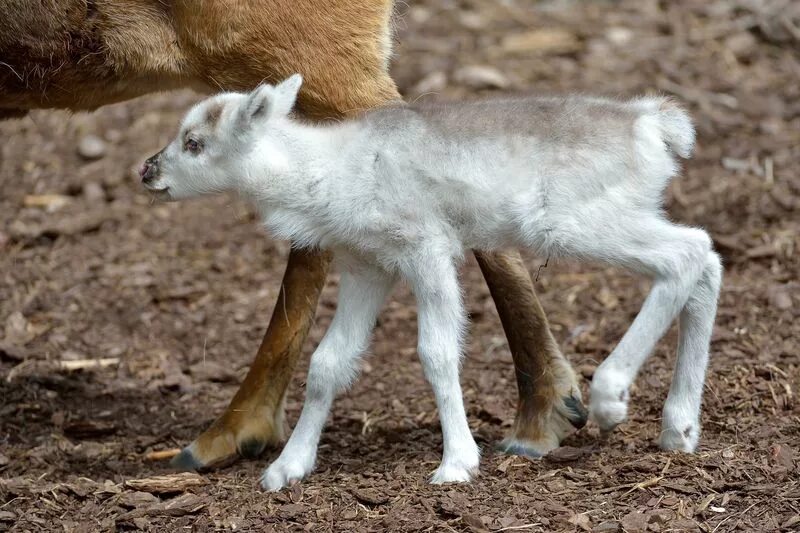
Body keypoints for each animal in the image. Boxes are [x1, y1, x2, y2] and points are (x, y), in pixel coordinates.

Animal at [141, 75, 720, 490]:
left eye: (194, 142)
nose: (147, 171)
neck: (329, 171)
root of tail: (655, 124)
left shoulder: (427, 249)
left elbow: (436, 352)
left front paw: (457, 463)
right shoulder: (367, 266)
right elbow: (329, 362)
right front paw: (285, 470)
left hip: (571, 223)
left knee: (686, 255)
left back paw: (611, 397)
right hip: (620, 215)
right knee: (706, 259)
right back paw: (679, 428)